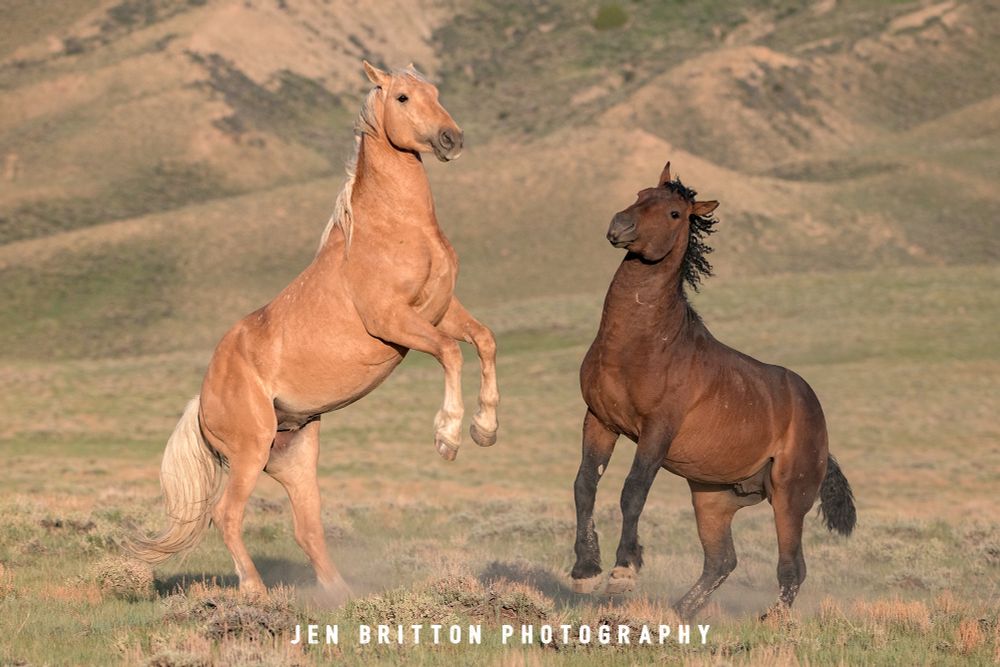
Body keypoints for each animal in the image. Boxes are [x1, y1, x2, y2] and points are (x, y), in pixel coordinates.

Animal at [128, 61, 500, 602]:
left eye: (435, 91)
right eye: (403, 97)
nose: (452, 139)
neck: (394, 229)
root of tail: (202, 401)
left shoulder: (440, 310)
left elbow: (483, 341)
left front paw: (485, 429)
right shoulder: (396, 322)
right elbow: (452, 353)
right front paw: (448, 437)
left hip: (295, 457)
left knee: (307, 528)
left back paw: (340, 595)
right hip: (249, 453)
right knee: (227, 515)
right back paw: (255, 592)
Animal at [570, 161, 855, 618]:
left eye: (674, 214)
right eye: (641, 193)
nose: (619, 226)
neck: (644, 344)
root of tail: (817, 420)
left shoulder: (656, 430)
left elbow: (633, 491)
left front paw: (622, 573)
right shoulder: (599, 420)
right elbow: (585, 487)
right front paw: (584, 572)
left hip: (789, 497)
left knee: (791, 567)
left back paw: (770, 621)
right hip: (712, 499)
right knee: (721, 561)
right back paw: (678, 613)